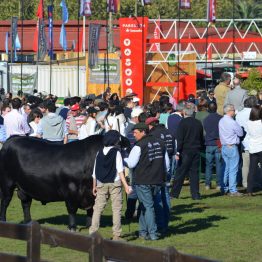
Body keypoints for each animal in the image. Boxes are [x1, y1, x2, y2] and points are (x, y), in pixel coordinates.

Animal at [0, 135, 130, 229]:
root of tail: (12, 138)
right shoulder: (71, 190)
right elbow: (72, 209)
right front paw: (72, 227)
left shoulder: (92, 193)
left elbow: (91, 210)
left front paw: (89, 225)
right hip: (7, 183)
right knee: (5, 202)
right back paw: (3, 221)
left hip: (25, 186)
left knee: (26, 203)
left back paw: (28, 222)